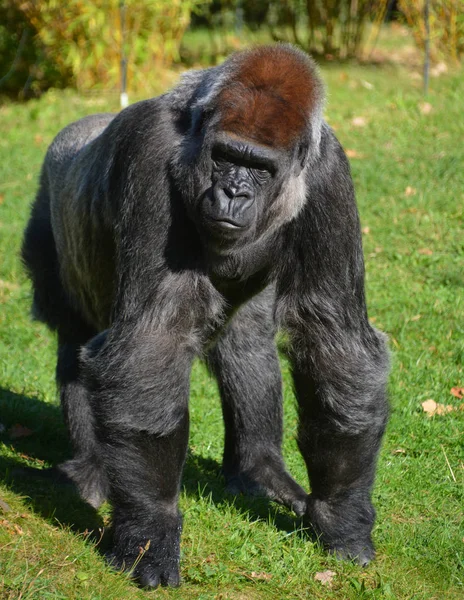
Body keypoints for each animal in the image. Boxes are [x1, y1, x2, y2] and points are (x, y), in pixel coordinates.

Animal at [23, 45, 390, 584]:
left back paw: (258, 471)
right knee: (77, 339)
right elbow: (151, 341)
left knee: (247, 342)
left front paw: (340, 513)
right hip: (49, 209)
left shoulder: (328, 174)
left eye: (260, 168)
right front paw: (149, 532)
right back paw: (90, 469)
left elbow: (333, 337)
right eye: (226, 157)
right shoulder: (151, 153)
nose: (234, 193)